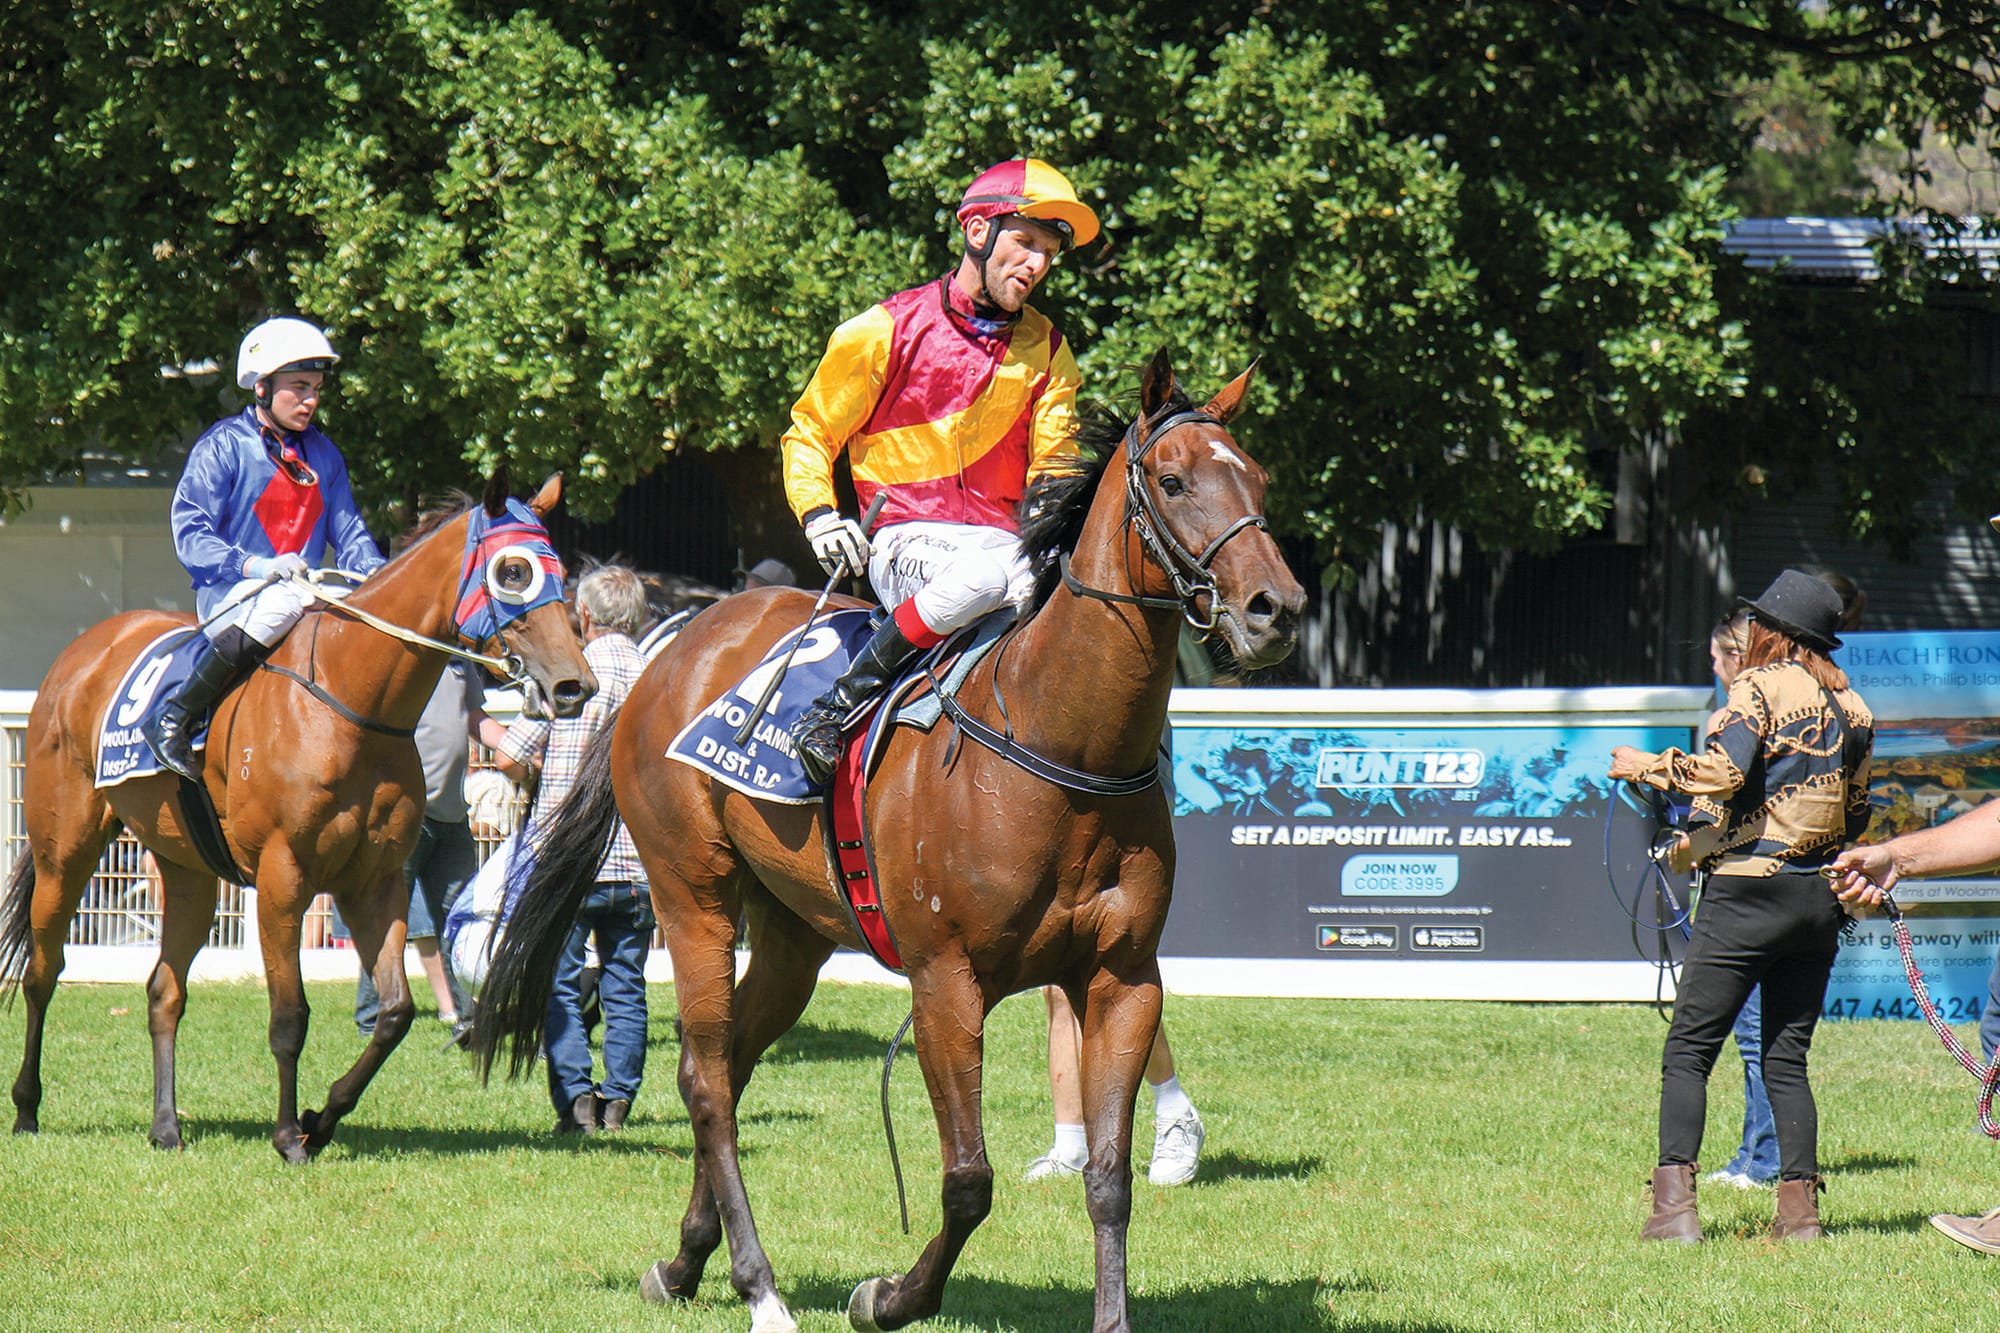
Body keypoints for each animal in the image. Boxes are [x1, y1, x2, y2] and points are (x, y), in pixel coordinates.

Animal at [1, 471, 595, 1163]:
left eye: (560, 570)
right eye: (513, 570)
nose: (574, 686)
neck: (352, 704)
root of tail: (84, 651)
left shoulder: (375, 881)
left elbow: (395, 1013)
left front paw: (323, 1116)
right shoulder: (283, 879)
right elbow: (290, 1015)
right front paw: (289, 1134)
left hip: (187, 871)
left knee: (164, 991)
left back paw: (166, 1126)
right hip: (64, 850)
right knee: (43, 972)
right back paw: (27, 1107)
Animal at [475, 350, 1304, 1333]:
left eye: (1258, 478)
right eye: (1174, 481)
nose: (1276, 608)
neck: (1062, 744)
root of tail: (669, 647)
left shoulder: (1122, 977)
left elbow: (1108, 1178)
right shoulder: (945, 981)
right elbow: (968, 1180)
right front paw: (890, 1295)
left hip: (792, 934)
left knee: (734, 1063)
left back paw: (684, 1261)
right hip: (693, 895)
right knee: (707, 1081)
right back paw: (758, 1285)